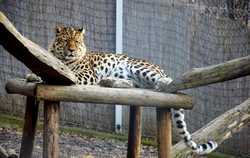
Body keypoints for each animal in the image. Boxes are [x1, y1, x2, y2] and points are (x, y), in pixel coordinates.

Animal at [48, 25, 217, 154]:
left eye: (76, 41)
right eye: (65, 40)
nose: (71, 50)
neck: (64, 59)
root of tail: (159, 68)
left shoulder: (87, 74)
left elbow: (71, 74)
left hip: (138, 67)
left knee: (166, 83)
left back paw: (163, 83)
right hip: (133, 78)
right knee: (133, 85)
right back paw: (109, 81)